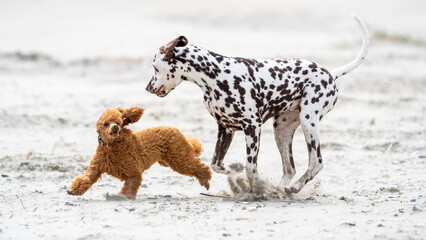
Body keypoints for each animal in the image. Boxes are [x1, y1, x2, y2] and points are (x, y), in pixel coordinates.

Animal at [145, 14, 368, 194]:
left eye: (154, 66)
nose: (148, 88)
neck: (215, 75)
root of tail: (330, 74)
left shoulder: (252, 128)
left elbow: (251, 169)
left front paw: (254, 184)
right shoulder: (226, 129)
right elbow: (217, 164)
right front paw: (235, 169)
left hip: (308, 122)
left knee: (316, 163)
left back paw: (293, 188)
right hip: (282, 130)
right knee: (290, 169)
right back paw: (278, 189)